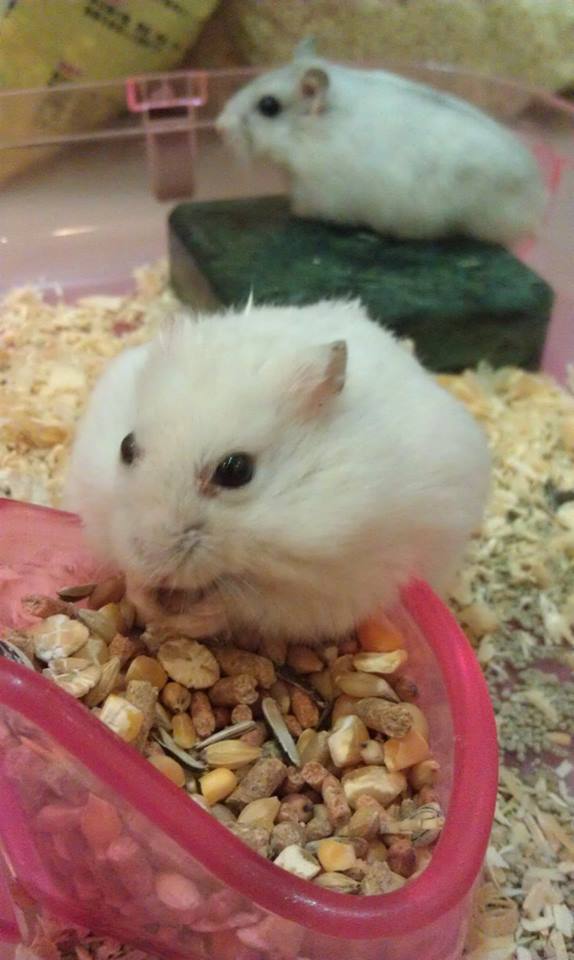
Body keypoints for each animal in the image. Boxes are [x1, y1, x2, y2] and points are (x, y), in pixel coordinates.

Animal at [64, 298, 490, 644]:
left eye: (235, 470)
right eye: (126, 446)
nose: (149, 559)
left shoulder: (323, 589)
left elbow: (234, 607)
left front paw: (178, 620)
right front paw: (144, 598)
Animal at [216, 38, 545, 246]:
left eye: (268, 106)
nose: (218, 127)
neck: (310, 134)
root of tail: (535, 204)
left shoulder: (315, 191)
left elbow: (303, 207)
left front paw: (294, 212)